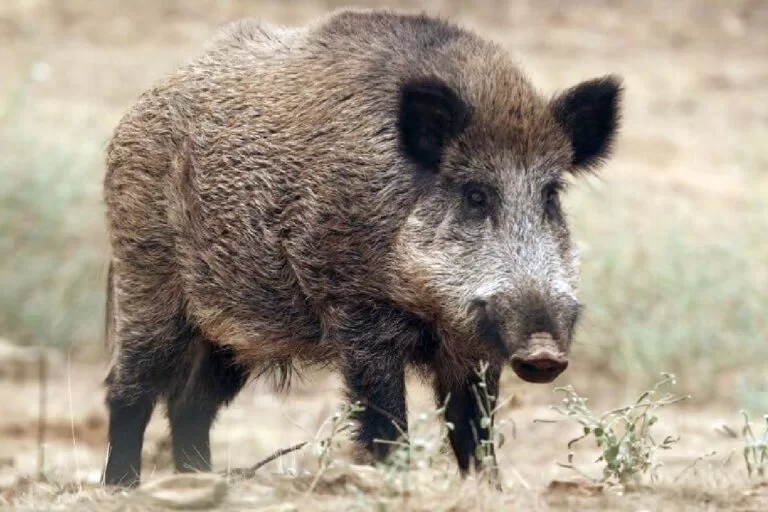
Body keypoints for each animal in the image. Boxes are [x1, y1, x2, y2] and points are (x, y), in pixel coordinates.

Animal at [101, 8, 622, 487]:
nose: (543, 353)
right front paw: (395, 483)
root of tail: (135, 112)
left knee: (191, 402)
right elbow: (385, 423)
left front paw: (485, 488)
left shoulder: (474, 349)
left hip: (231, 329)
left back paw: (200, 482)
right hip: (146, 277)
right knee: (129, 389)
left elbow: (475, 430)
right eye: (475, 195)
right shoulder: (357, 314)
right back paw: (121, 485)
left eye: (550, 195)